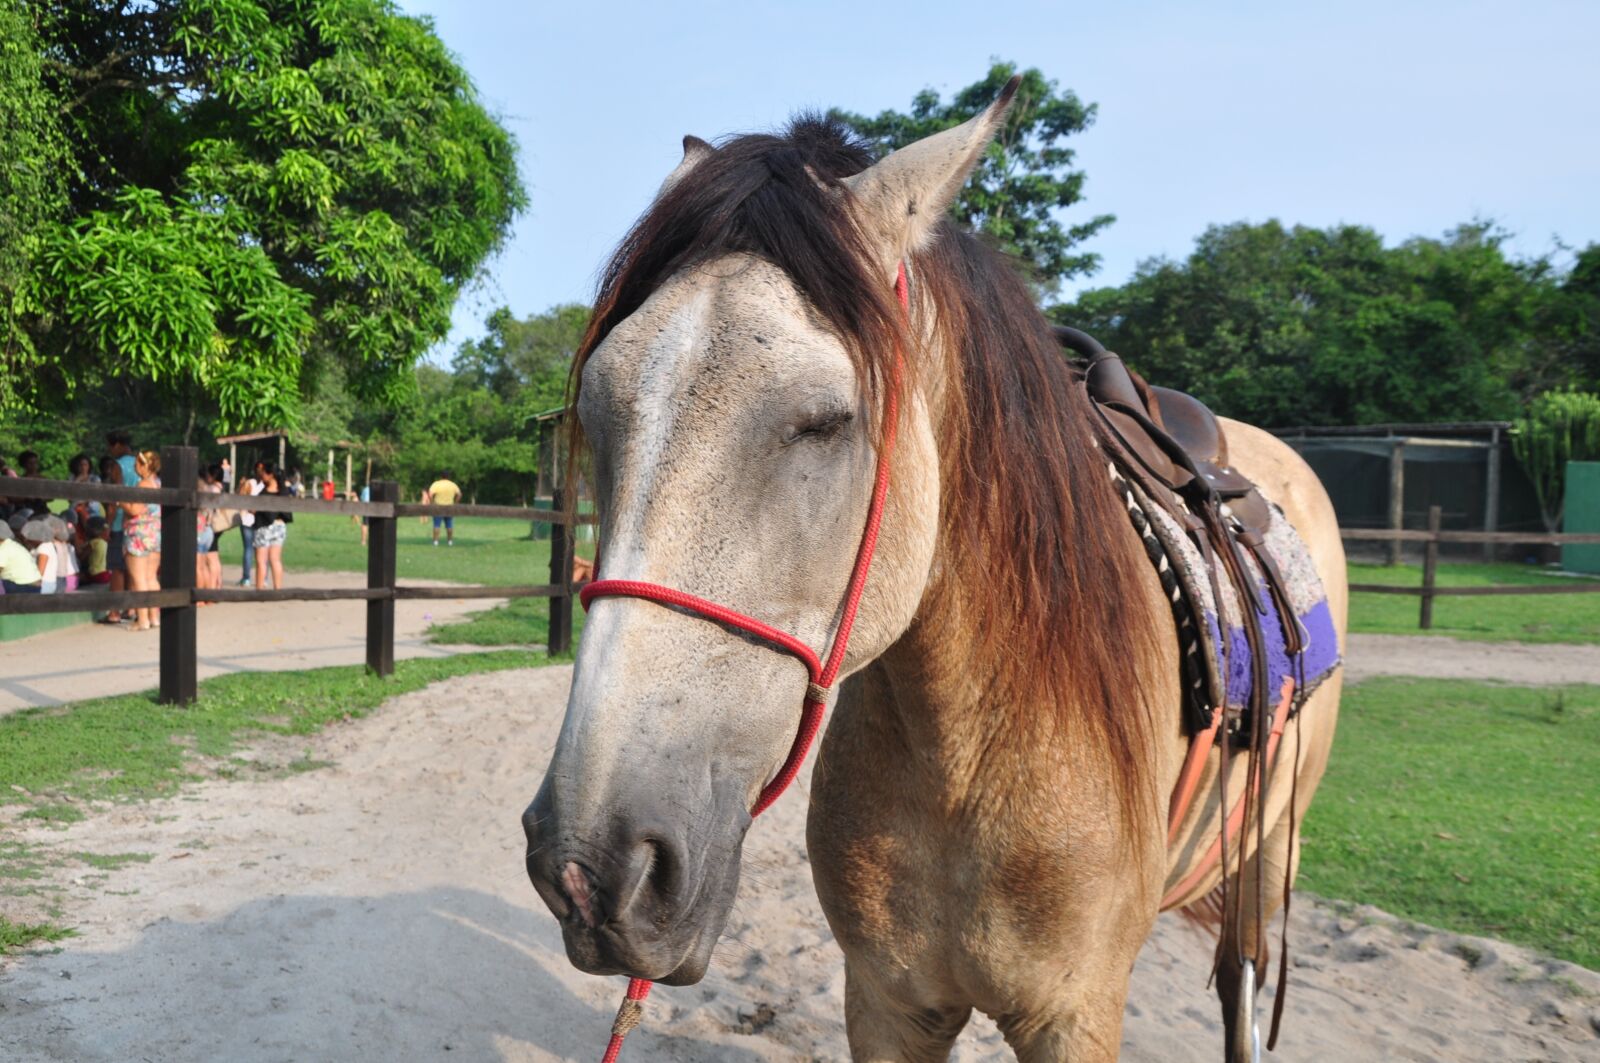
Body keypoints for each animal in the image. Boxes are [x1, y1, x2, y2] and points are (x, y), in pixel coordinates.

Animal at [524, 79, 1346, 1062]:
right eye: (597, 412)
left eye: (828, 421)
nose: (592, 868)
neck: (972, 751)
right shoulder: (888, 1002)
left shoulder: (1075, 1014)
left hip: (1270, 856)